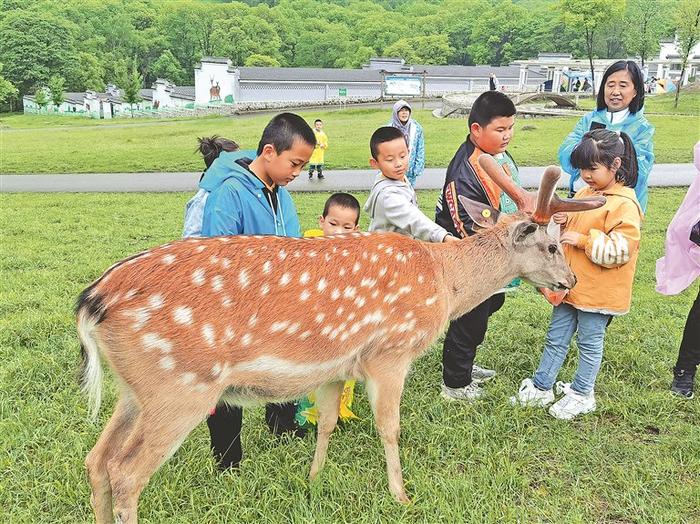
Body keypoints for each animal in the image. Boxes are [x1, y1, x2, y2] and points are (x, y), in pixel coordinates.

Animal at [76, 158, 600, 520]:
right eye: (551, 245)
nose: (572, 280)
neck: (443, 282)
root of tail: (92, 300)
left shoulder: (334, 365)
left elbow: (326, 423)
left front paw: (313, 479)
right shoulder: (390, 353)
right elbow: (389, 427)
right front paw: (402, 496)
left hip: (135, 390)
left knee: (97, 459)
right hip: (179, 386)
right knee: (125, 474)